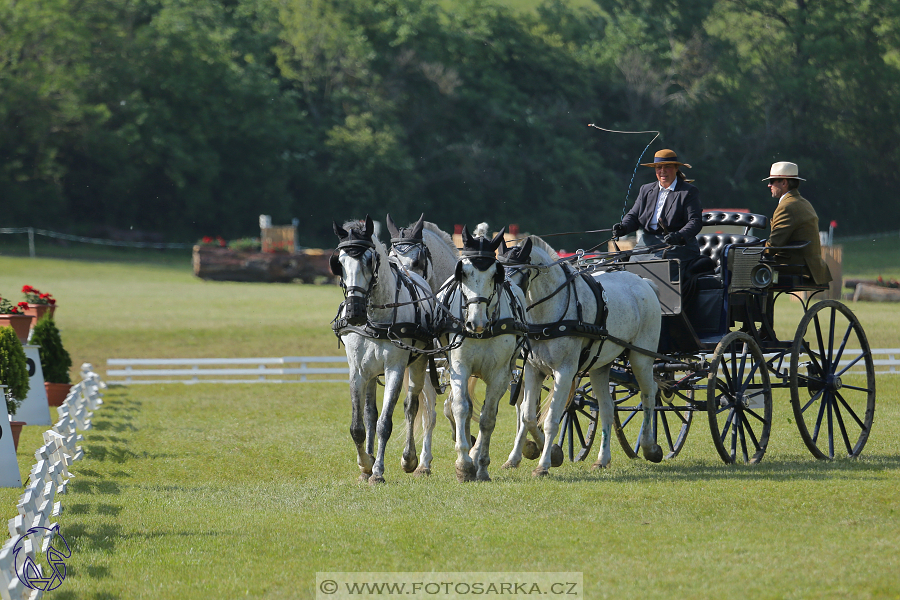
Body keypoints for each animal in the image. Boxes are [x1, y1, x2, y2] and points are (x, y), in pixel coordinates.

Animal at [330, 216, 436, 482]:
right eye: (340, 262)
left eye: (369, 260)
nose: (354, 310)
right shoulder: (357, 371)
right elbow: (359, 426)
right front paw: (365, 464)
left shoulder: (395, 369)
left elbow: (385, 423)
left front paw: (377, 470)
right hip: (370, 373)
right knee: (370, 414)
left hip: (418, 365)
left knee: (411, 406)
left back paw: (409, 459)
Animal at [436, 225, 528, 482]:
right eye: (464, 272)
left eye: (495, 275)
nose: (475, 323)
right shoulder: (459, 368)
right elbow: (460, 408)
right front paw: (463, 464)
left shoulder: (500, 375)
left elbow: (488, 418)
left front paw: (481, 465)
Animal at [500, 234, 660, 474]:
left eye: (518, 270)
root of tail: (644, 282)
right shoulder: (533, 369)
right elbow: (528, 416)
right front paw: (541, 453)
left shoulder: (564, 371)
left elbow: (551, 420)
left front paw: (544, 464)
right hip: (600, 367)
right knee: (607, 408)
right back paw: (602, 459)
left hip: (641, 357)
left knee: (649, 393)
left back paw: (650, 447)